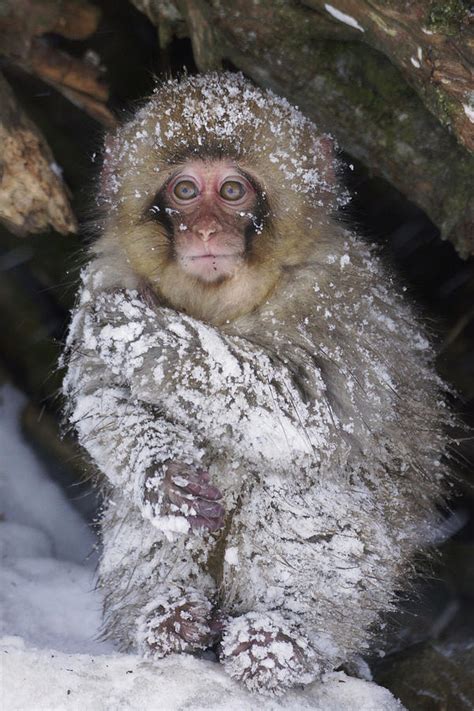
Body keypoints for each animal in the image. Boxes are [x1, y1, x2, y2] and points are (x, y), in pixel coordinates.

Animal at [64, 73, 452, 696]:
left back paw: (281, 640)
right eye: (185, 190)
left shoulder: (336, 298)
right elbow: (103, 401)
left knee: (301, 475)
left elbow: (304, 408)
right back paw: (170, 619)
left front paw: (136, 326)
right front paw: (162, 474)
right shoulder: (105, 271)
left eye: (232, 191)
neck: (226, 301)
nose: (205, 229)